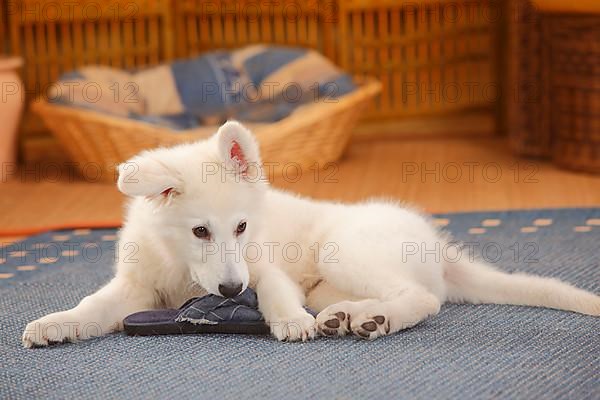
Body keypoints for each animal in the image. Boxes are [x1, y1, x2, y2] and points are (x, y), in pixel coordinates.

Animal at [21, 119, 596, 346]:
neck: (181, 265)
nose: (231, 290)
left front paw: (290, 322)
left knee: (425, 298)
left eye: (242, 227)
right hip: (330, 281)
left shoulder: (264, 265)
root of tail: (435, 244)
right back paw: (352, 316)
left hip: (346, 250)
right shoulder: (134, 287)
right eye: (201, 231)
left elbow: (274, 291)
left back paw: (371, 319)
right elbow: (92, 306)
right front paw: (55, 323)